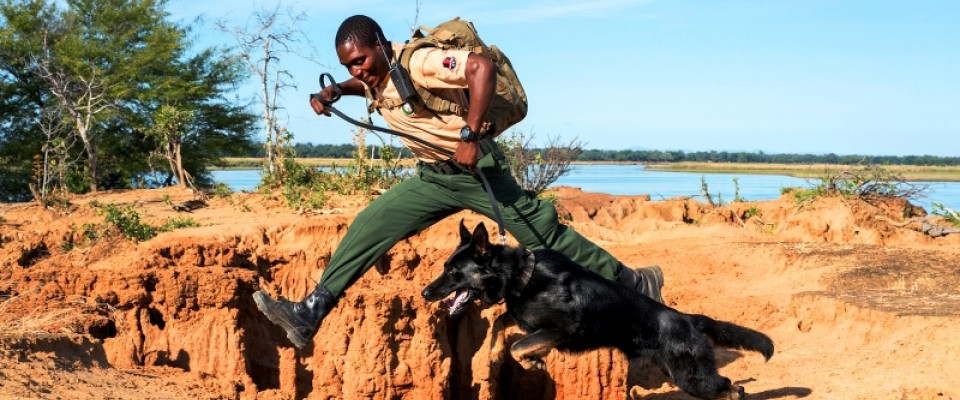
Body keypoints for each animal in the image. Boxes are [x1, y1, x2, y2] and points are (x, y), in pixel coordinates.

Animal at [420, 222, 772, 400]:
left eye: (453, 271)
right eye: (446, 266)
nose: (424, 293)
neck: (522, 275)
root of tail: (689, 320)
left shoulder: (560, 330)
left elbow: (518, 345)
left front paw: (533, 362)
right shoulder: (526, 318)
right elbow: (503, 324)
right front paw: (495, 353)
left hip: (692, 377)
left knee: (733, 389)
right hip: (678, 373)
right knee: (732, 389)